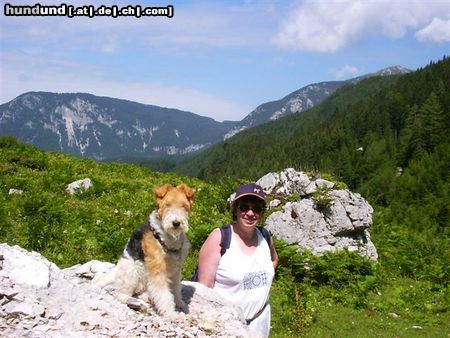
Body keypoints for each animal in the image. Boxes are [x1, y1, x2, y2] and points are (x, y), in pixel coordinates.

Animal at [94, 182, 194, 316]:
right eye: (167, 205)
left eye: (184, 206)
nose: (176, 223)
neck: (168, 237)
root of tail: (115, 274)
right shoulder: (158, 268)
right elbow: (164, 295)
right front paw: (171, 314)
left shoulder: (176, 269)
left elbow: (176, 289)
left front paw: (179, 303)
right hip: (131, 271)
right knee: (121, 294)